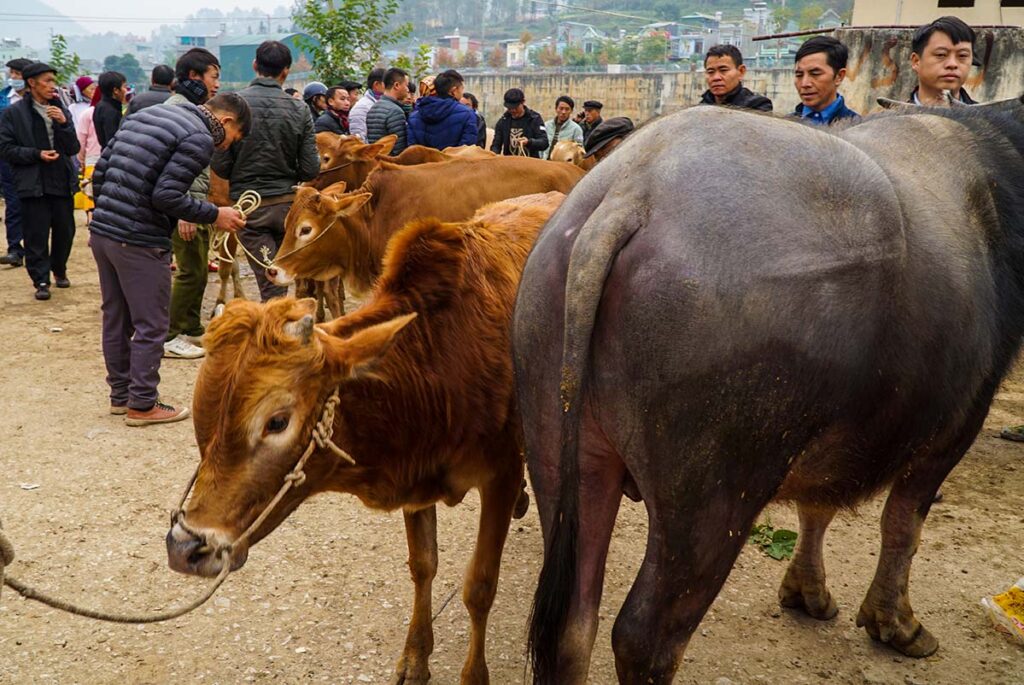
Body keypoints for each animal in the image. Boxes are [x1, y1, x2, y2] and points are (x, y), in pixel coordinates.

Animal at [169, 191, 569, 683]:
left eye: (277, 421)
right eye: (203, 420)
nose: (184, 547)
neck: (440, 355)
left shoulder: (500, 474)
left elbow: (479, 587)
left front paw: (474, 674)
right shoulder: (418, 479)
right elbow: (423, 566)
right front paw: (415, 656)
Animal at [516, 98, 1024, 679]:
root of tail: (631, 191)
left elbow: (817, 506)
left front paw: (807, 593)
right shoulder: (954, 426)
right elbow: (903, 525)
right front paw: (898, 625)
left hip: (560, 445)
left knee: (573, 624)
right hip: (714, 493)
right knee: (645, 638)